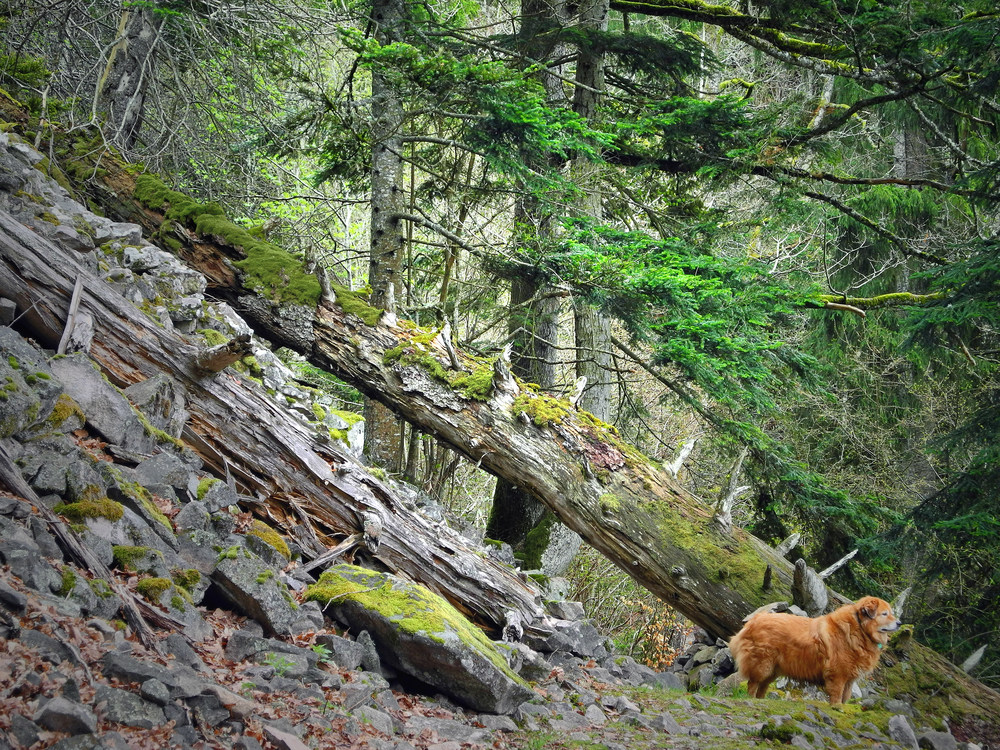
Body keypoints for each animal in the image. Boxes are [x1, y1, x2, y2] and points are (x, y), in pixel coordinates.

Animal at [728, 600, 900, 704]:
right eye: (885, 614)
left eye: (891, 613)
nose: (899, 623)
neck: (859, 629)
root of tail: (754, 620)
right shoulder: (838, 674)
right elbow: (837, 695)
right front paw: (836, 708)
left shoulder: (850, 679)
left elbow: (845, 697)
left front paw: (842, 709)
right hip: (763, 664)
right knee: (753, 683)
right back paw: (751, 699)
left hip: (773, 669)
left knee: (762, 686)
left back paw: (761, 700)